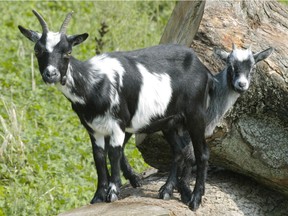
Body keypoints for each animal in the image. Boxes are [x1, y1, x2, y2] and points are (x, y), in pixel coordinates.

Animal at [156, 43, 274, 204]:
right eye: (230, 66)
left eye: (253, 67)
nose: (241, 84)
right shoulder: (191, 127)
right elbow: (187, 154)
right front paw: (182, 189)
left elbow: (188, 155)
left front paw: (180, 187)